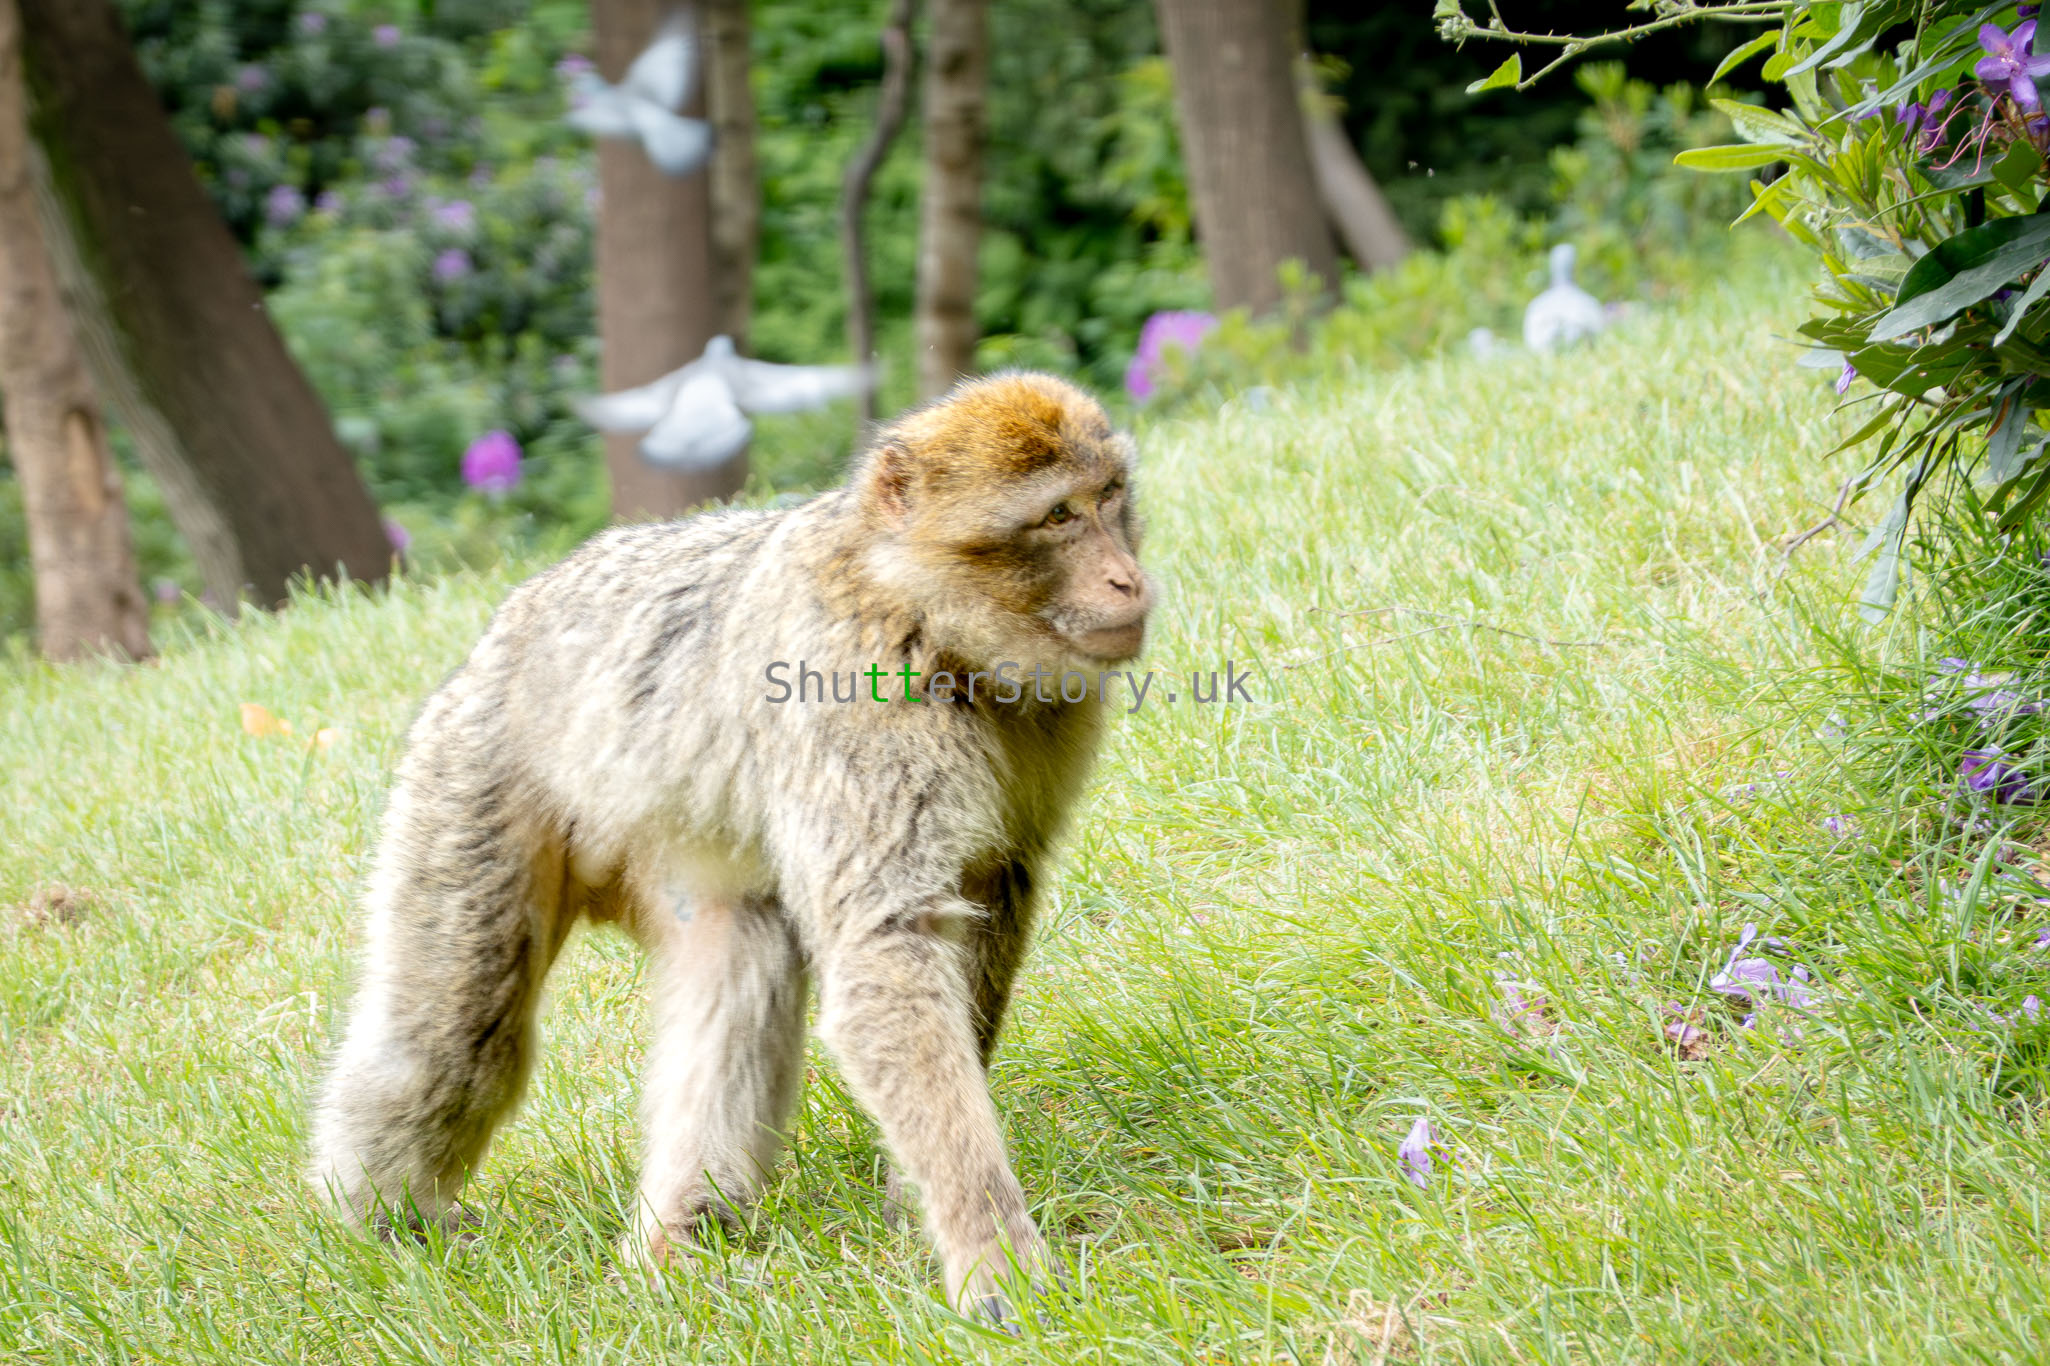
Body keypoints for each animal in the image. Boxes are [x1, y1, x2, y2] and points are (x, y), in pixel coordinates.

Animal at [306, 372, 1152, 1322]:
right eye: (1057, 516)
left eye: (1110, 497)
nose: (1127, 578)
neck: (927, 619)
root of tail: (501, 630)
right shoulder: (858, 698)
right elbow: (886, 951)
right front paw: (993, 1254)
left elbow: (984, 896)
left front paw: (914, 1200)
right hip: (468, 781)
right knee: (454, 1035)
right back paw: (376, 1224)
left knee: (742, 958)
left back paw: (676, 1241)